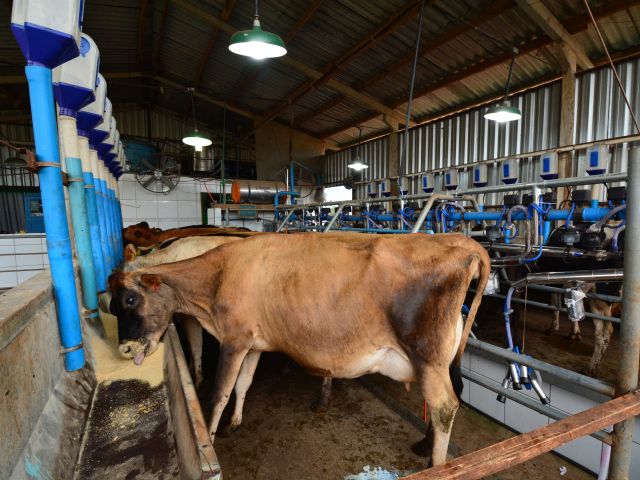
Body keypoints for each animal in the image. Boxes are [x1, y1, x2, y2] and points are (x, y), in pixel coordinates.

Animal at [110, 232, 490, 464]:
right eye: (111, 305)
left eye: (130, 299)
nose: (125, 348)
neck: (220, 271)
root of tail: (461, 244)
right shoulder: (253, 343)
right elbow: (244, 384)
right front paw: (236, 421)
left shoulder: (233, 339)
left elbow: (219, 393)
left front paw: (213, 440)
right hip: (442, 359)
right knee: (451, 396)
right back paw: (425, 445)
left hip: (427, 356)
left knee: (444, 406)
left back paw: (435, 464)